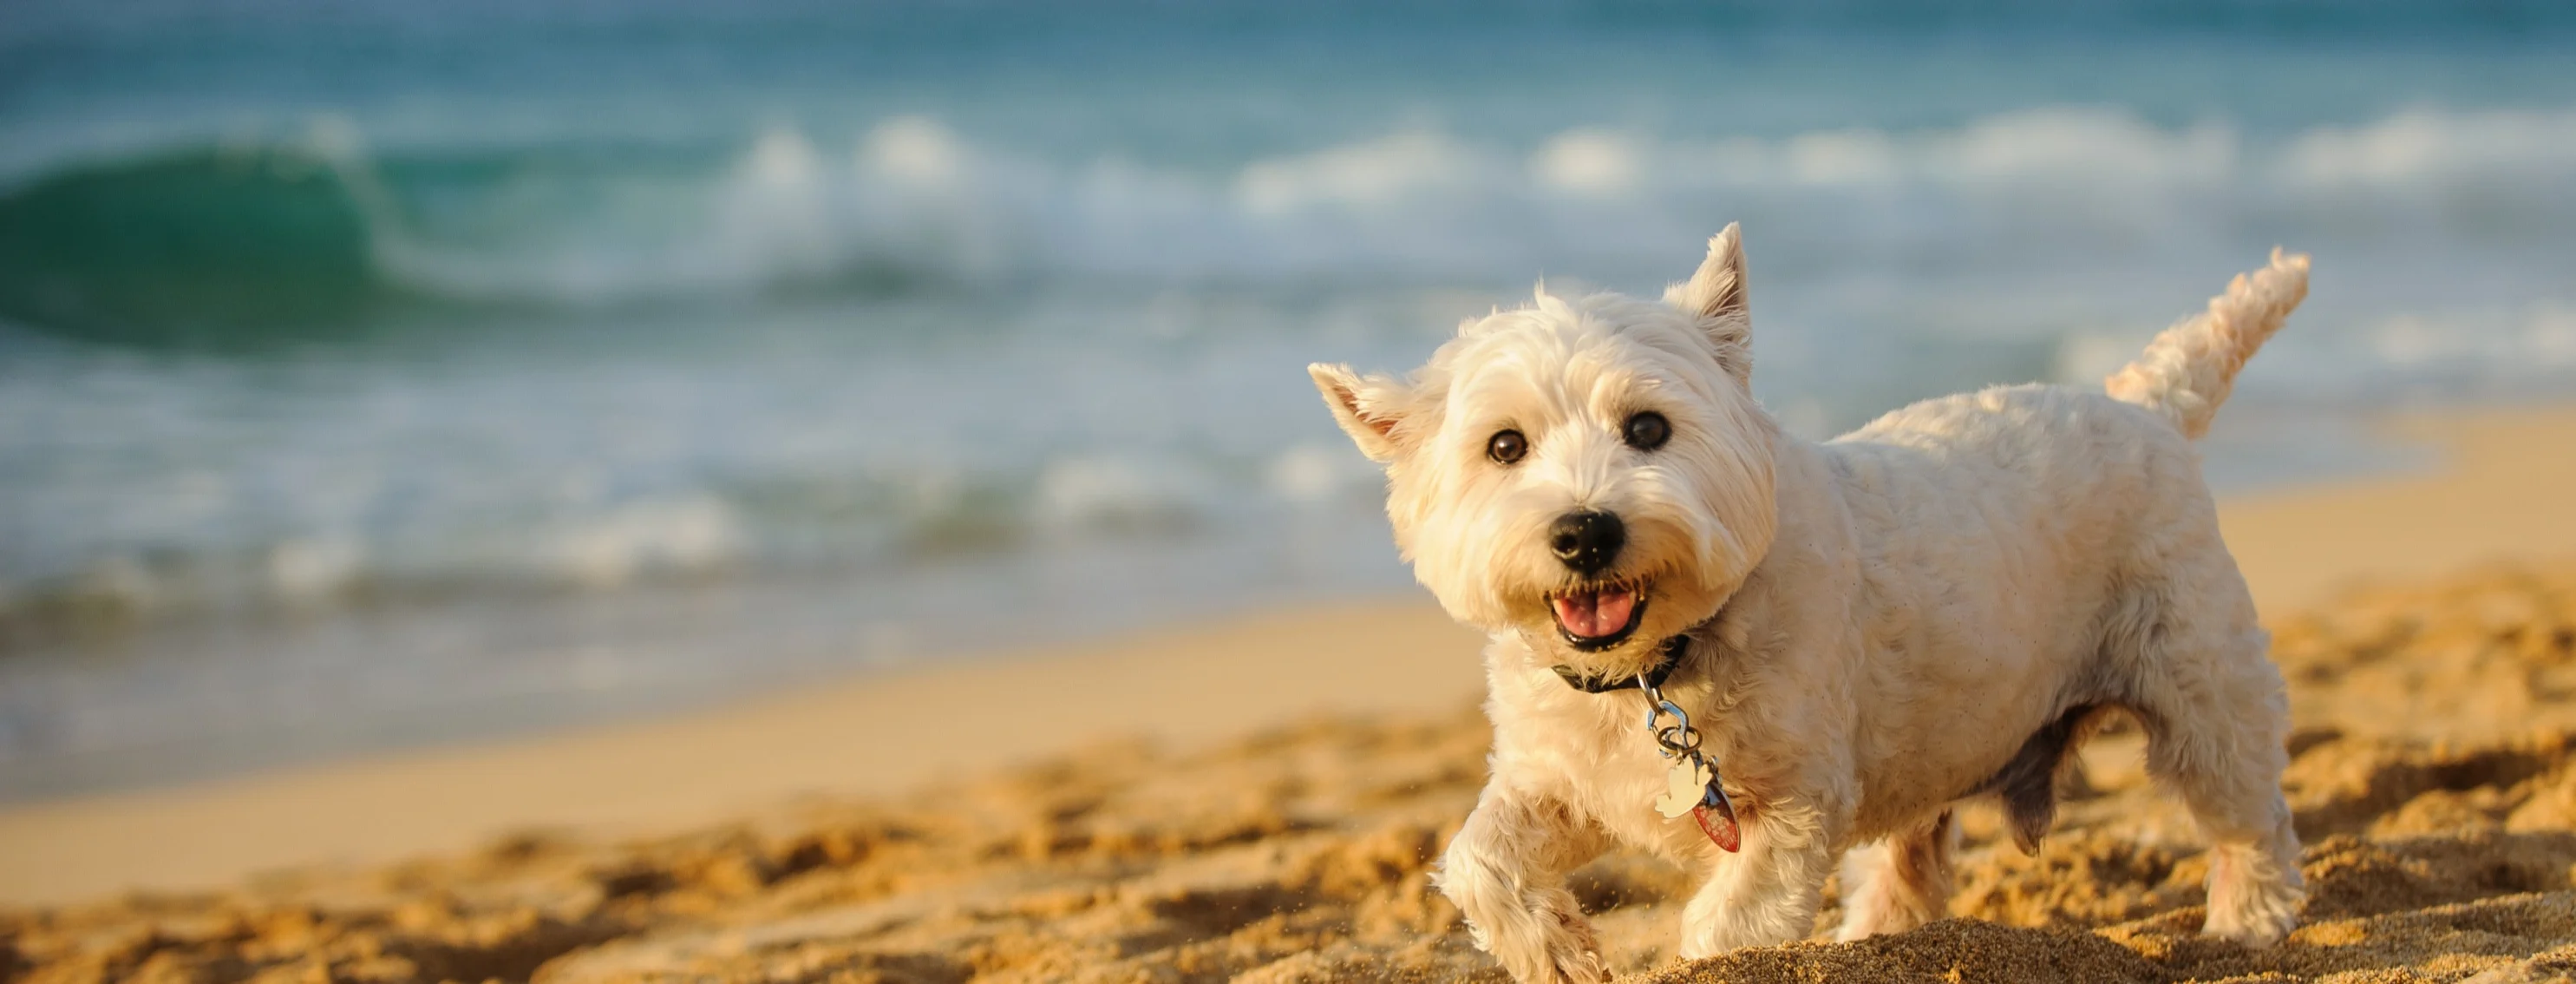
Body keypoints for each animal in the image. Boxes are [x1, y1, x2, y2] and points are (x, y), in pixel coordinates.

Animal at [1318, 226, 2308, 979]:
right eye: (1504, 446)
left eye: (1649, 428)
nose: (1585, 533)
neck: (1657, 669)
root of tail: (2147, 408)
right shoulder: (1560, 780)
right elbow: (1477, 859)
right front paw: (1554, 951)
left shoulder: (1794, 805)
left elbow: (1727, 926)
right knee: (1908, 862)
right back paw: (1875, 938)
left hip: (2199, 686)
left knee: (2247, 814)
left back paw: (2246, 925)